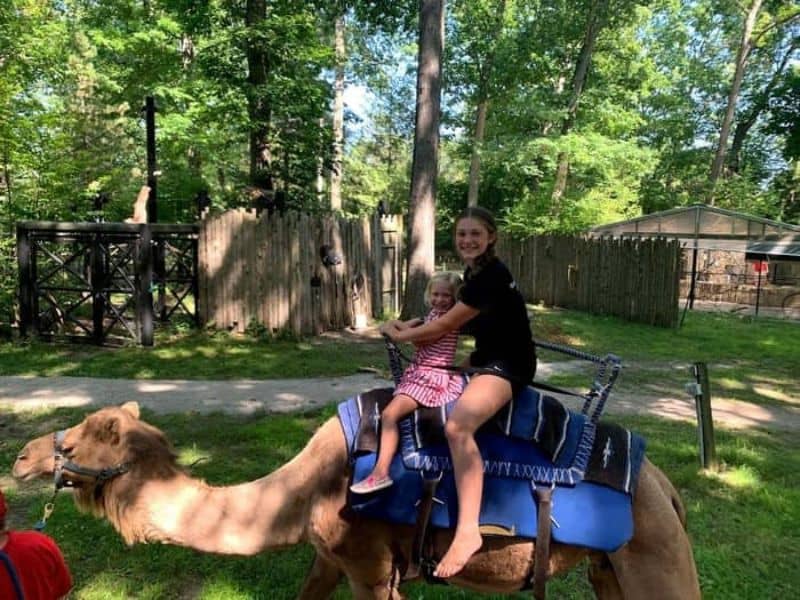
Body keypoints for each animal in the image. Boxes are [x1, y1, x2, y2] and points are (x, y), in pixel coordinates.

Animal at [12, 401, 701, 599]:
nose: (21, 456)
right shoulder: (328, 558)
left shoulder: (369, 566)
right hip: (609, 569)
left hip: (657, 559)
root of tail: (666, 488)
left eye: (73, 440)